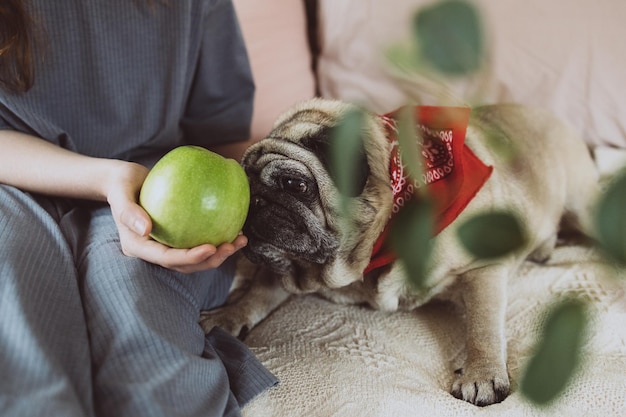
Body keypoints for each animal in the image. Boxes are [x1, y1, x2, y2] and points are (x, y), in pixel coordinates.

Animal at [197, 96, 596, 404]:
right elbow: (258, 292)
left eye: (295, 184)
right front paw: (230, 313)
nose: (256, 203)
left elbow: (482, 325)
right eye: (244, 189)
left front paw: (481, 374)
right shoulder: (290, 266)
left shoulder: (482, 268)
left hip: (583, 207)